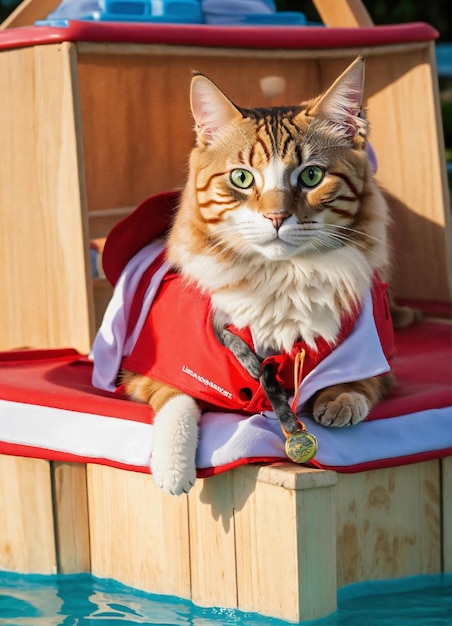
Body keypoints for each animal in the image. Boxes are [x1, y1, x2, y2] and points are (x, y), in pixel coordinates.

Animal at [122, 54, 394, 492]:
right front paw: (172, 467)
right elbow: (177, 401)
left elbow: (361, 381)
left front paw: (341, 400)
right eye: (242, 178)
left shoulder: (372, 356)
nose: (276, 217)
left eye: (312, 176)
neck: (281, 278)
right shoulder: (147, 368)